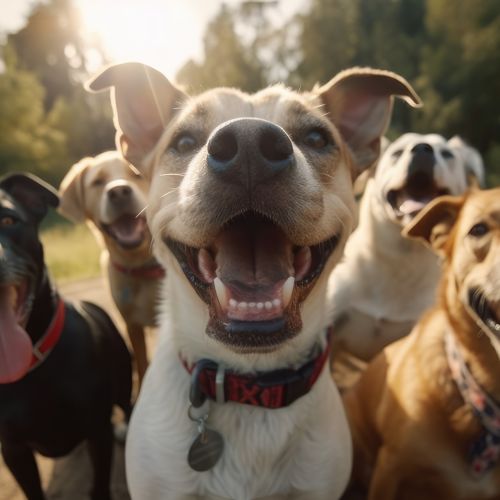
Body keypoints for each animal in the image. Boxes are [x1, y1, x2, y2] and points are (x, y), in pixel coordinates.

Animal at [59, 151, 163, 382]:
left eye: (136, 173)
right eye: (98, 182)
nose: (118, 192)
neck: (141, 266)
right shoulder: (132, 325)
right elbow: (142, 366)